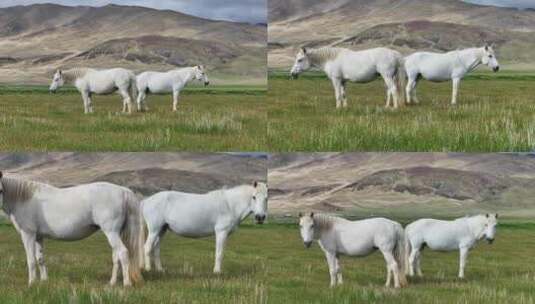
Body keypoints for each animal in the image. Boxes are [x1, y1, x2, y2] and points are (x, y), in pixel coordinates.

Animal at [0, 172, 144, 286]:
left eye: (1, 190)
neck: (24, 199)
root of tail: (123, 191)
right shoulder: (38, 236)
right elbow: (40, 259)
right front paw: (44, 282)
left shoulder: (28, 234)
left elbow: (30, 260)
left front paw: (31, 284)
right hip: (115, 233)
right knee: (116, 256)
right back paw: (112, 282)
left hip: (111, 232)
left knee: (123, 253)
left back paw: (126, 284)